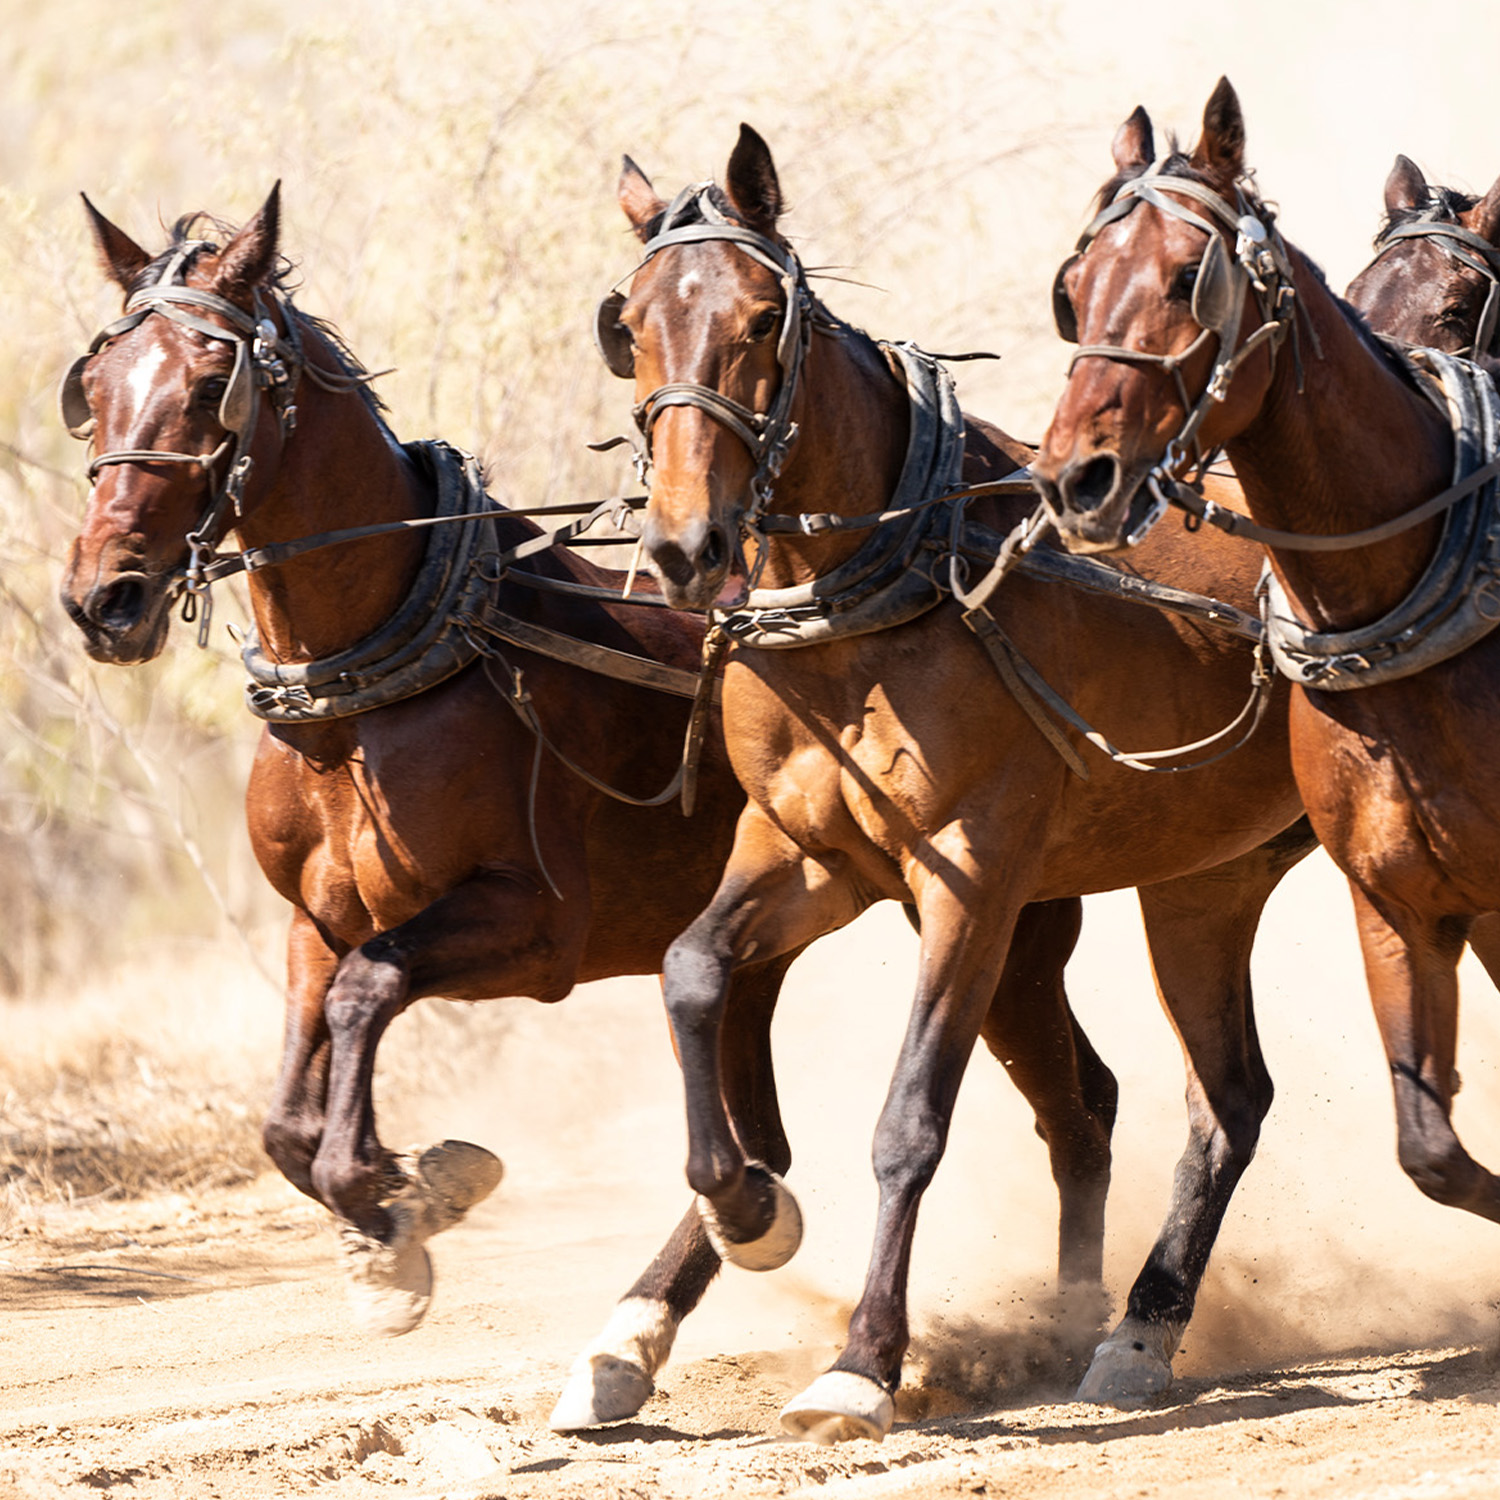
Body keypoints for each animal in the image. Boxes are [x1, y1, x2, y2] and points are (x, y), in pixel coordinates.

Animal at [56, 186, 1128, 1433]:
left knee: (1076, 1106)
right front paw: (382, 1220)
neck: (370, 687)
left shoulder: (531, 928)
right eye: (98, 382)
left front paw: (412, 1191)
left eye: (208, 382)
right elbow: (285, 1114)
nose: (103, 597)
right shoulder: (311, 923)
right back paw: (643, 1326)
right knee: (777, 1131)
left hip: (984, 912)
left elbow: (371, 994)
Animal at [602, 124, 1328, 1440]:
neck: (870, 600)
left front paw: (861, 1362)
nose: (684, 547)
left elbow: (908, 1122)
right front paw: (740, 1219)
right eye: (627, 324)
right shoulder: (810, 856)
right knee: (1215, 1099)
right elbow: (691, 972)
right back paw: (1118, 1325)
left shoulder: (970, 883)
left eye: (762, 319)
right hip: (1204, 882)